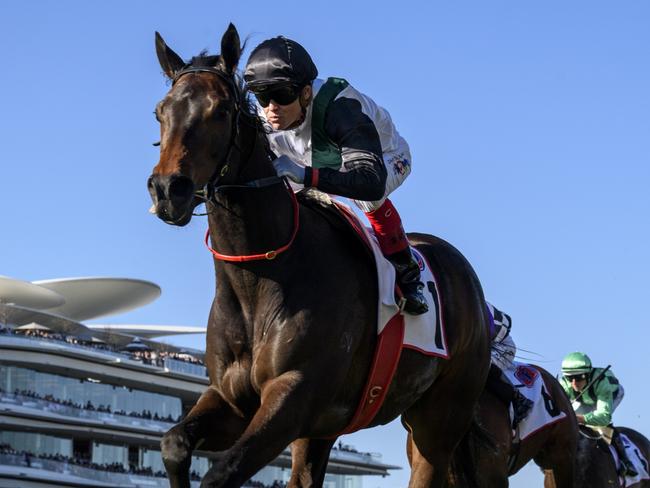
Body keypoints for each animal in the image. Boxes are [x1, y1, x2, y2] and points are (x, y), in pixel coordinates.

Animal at [147, 23, 488, 488]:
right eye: (160, 112)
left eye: (220, 111)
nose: (168, 190)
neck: (260, 277)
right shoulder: (231, 401)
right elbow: (174, 444)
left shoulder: (294, 396)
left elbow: (221, 473)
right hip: (327, 430)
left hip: (438, 422)